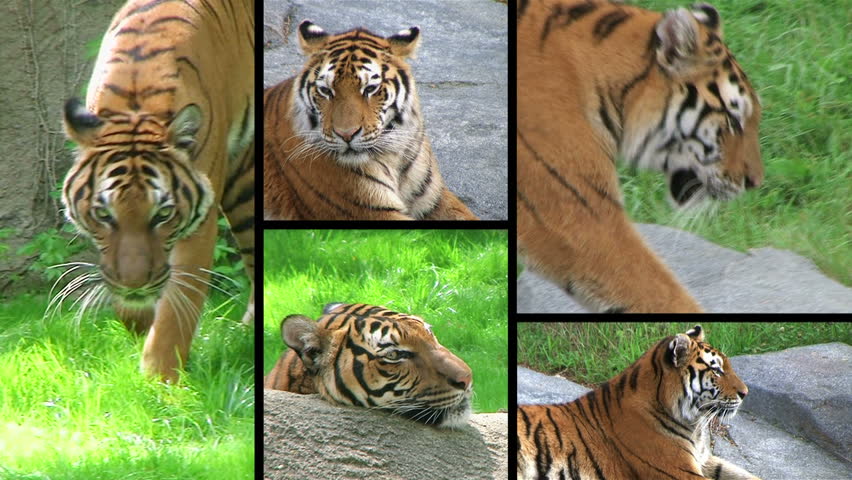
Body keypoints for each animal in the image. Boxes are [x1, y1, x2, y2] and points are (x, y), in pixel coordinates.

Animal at [60, 0, 255, 383]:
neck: (136, 103)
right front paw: (138, 321)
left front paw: (158, 380)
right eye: (103, 214)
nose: (135, 284)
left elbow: (178, 307)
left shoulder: (200, 224)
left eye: (163, 214)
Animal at [263, 20, 479, 220]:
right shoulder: (369, 209)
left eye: (370, 89)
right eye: (325, 90)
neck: (395, 156)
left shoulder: (435, 199)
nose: (346, 135)